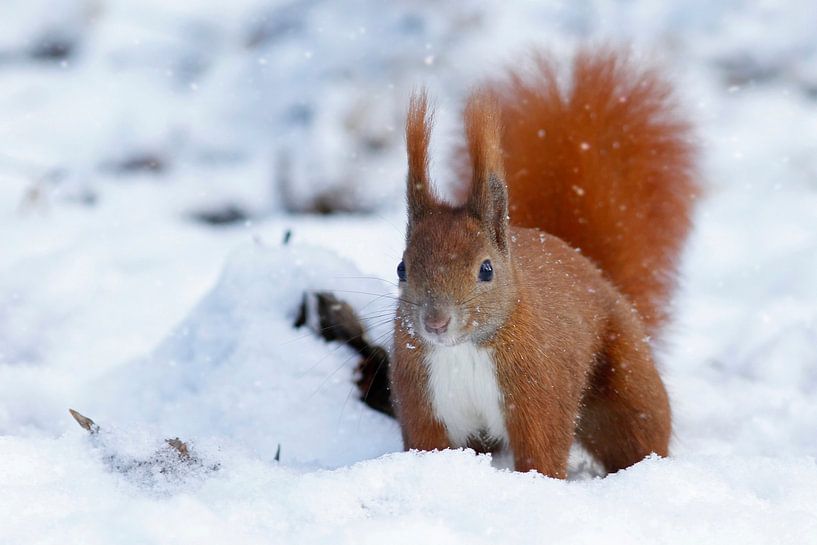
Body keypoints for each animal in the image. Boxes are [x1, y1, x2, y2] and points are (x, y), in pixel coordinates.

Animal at [388, 50, 696, 476]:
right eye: (402, 268)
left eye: (486, 269)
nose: (435, 323)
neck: (465, 348)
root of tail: (593, 269)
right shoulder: (423, 399)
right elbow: (427, 445)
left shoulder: (539, 392)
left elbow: (542, 449)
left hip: (628, 384)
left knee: (640, 430)